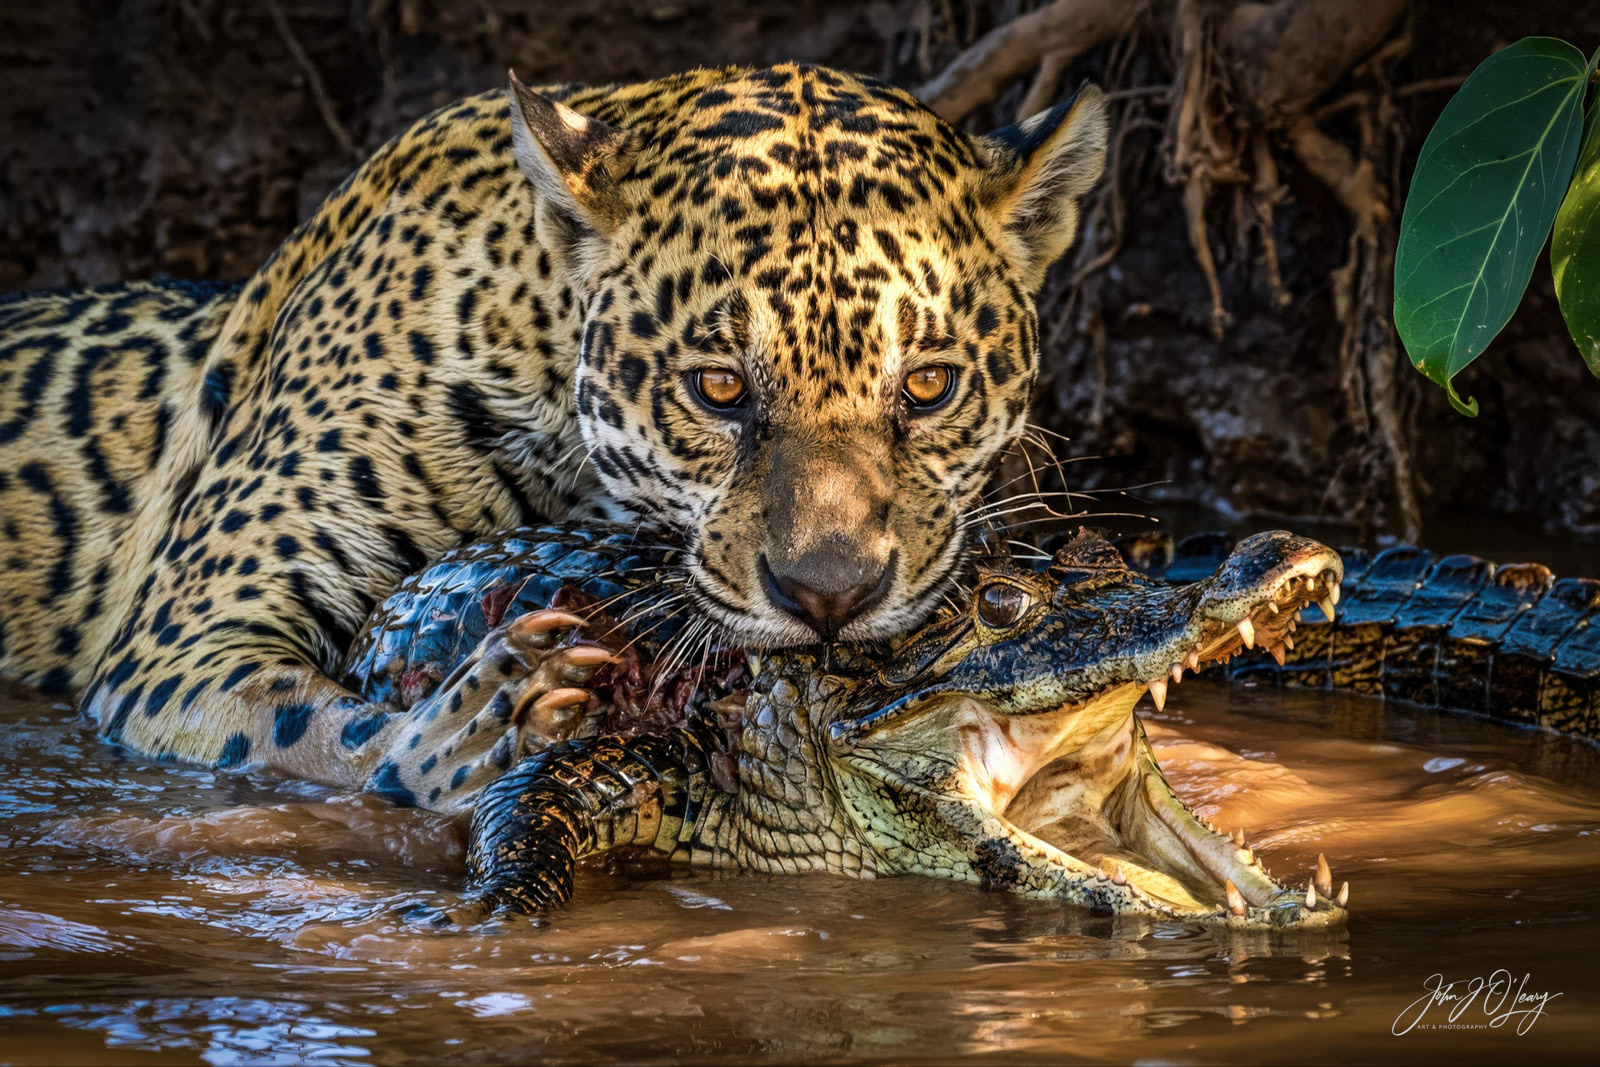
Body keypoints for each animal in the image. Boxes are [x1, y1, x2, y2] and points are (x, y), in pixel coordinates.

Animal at [0, 62, 1107, 814]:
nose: (829, 596)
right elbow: (296, 726)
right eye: (717, 389)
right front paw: (458, 732)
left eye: (928, 385)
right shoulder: (187, 630)